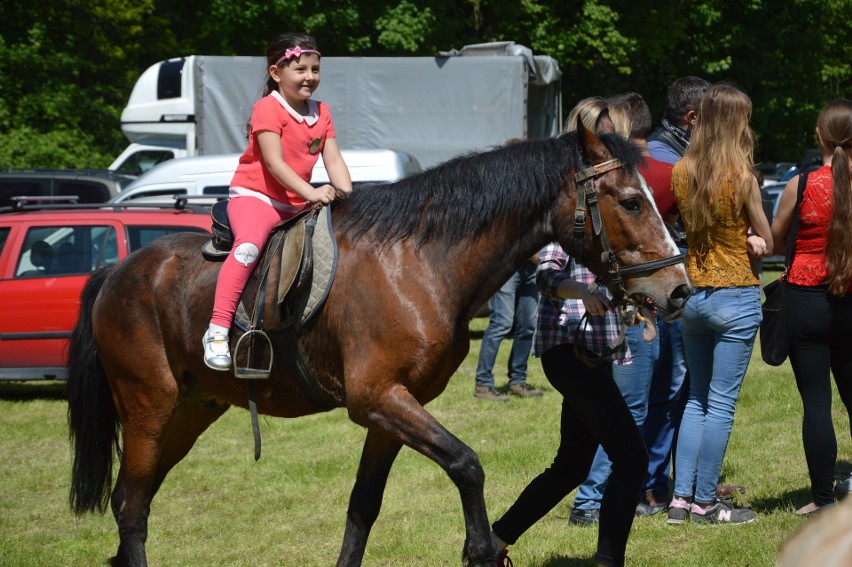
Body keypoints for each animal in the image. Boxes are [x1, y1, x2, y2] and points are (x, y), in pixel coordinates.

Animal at [66, 122, 692, 564]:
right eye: (631, 201)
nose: (679, 289)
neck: (419, 262)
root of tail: (117, 271)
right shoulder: (377, 400)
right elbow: (467, 465)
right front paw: (481, 548)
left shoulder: (390, 409)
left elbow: (362, 509)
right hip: (149, 408)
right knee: (132, 506)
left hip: (190, 412)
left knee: (135, 499)